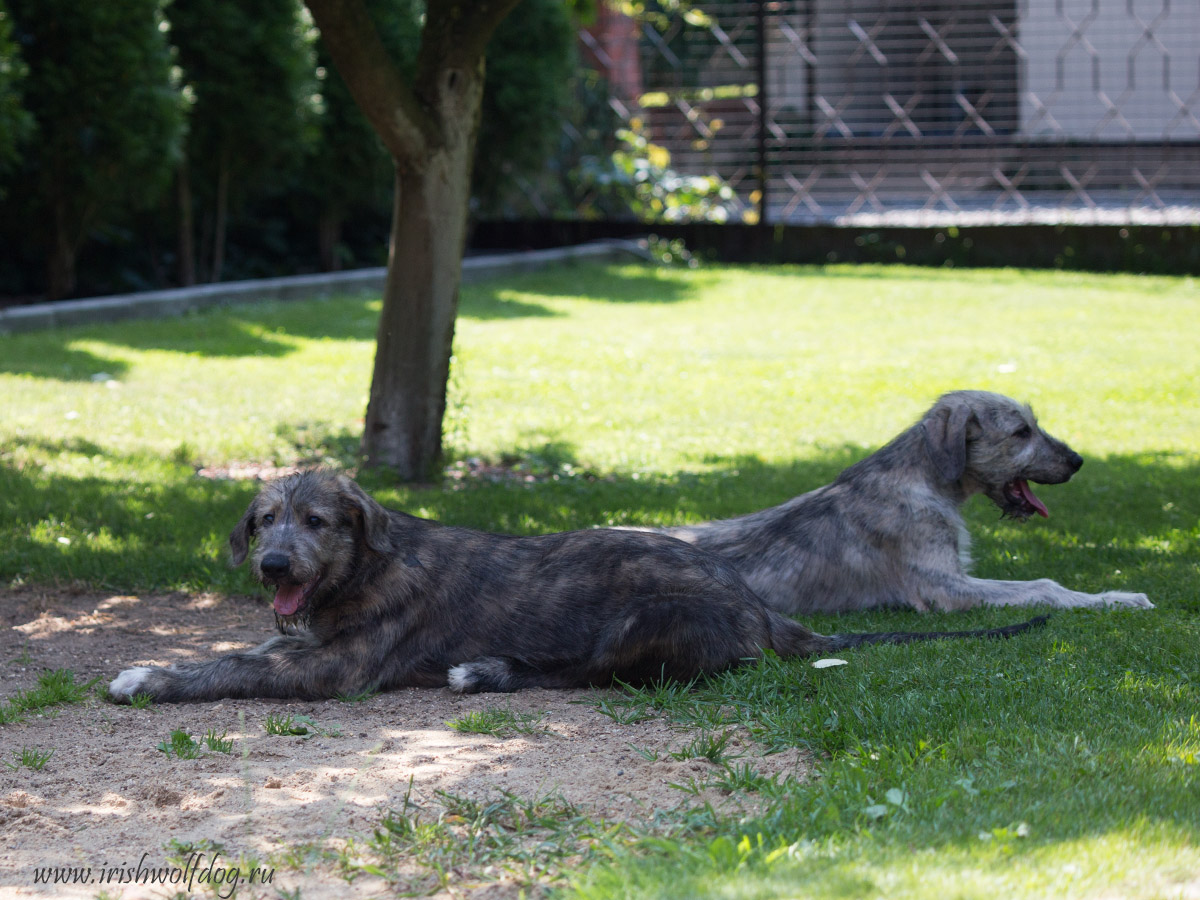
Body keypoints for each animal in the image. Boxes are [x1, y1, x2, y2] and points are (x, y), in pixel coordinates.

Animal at [652, 391, 1147, 619]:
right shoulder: (946, 587)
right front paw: (1120, 598)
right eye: (1021, 432)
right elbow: (1043, 585)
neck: (922, 478)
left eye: (1034, 424)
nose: (1077, 461)